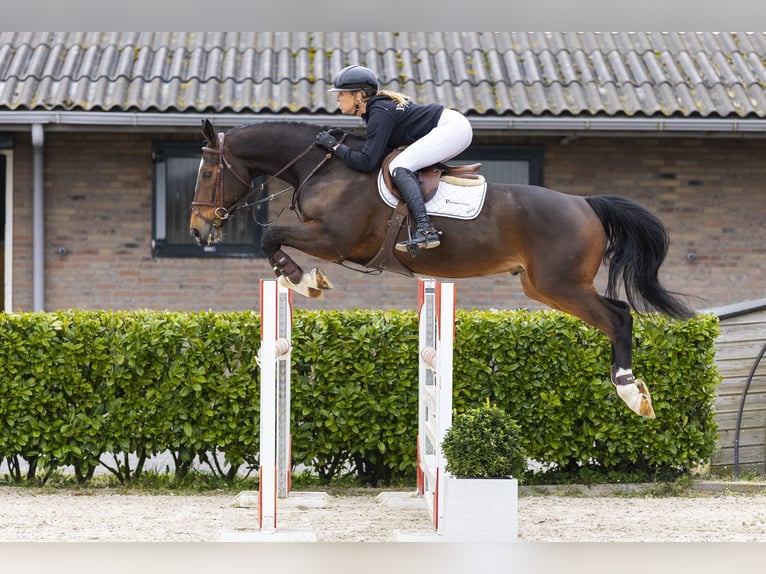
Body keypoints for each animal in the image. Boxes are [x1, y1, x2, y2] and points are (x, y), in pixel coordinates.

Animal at [190, 119, 695, 419]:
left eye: (208, 173)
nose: (198, 230)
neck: (325, 166)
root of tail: (586, 203)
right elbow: (272, 239)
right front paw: (301, 279)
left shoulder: (335, 240)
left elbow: (270, 237)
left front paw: (304, 279)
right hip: (544, 287)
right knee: (616, 314)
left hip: (562, 284)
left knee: (619, 318)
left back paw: (630, 391)